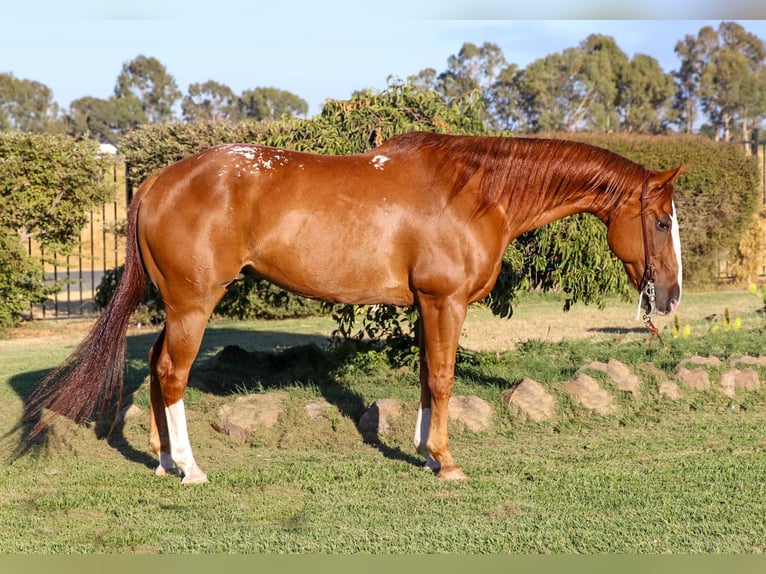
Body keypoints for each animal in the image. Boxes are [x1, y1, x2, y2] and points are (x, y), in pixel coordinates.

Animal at [26, 131, 685, 483]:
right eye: (659, 221)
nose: (672, 295)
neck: (475, 193)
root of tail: (157, 182)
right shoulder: (445, 303)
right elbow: (442, 379)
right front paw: (446, 462)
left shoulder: (426, 306)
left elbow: (424, 377)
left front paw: (423, 453)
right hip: (193, 303)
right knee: (170, 372)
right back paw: (191, 468)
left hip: (175, 305)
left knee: (161, 371)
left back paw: (165, 462)